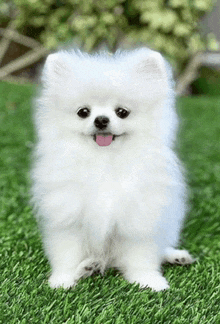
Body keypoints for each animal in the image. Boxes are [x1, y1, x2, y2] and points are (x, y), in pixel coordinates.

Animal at [31, 47, 193, 292]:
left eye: (122, 112)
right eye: (83, 112)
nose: (101, 120)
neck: (104, 162)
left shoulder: (138, 216)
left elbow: (141, 255)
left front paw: (148, 280)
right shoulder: (68, 216)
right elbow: (67, 253)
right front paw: (63, 279)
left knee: (161, 245)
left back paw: (176, 256)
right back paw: (89, 267)